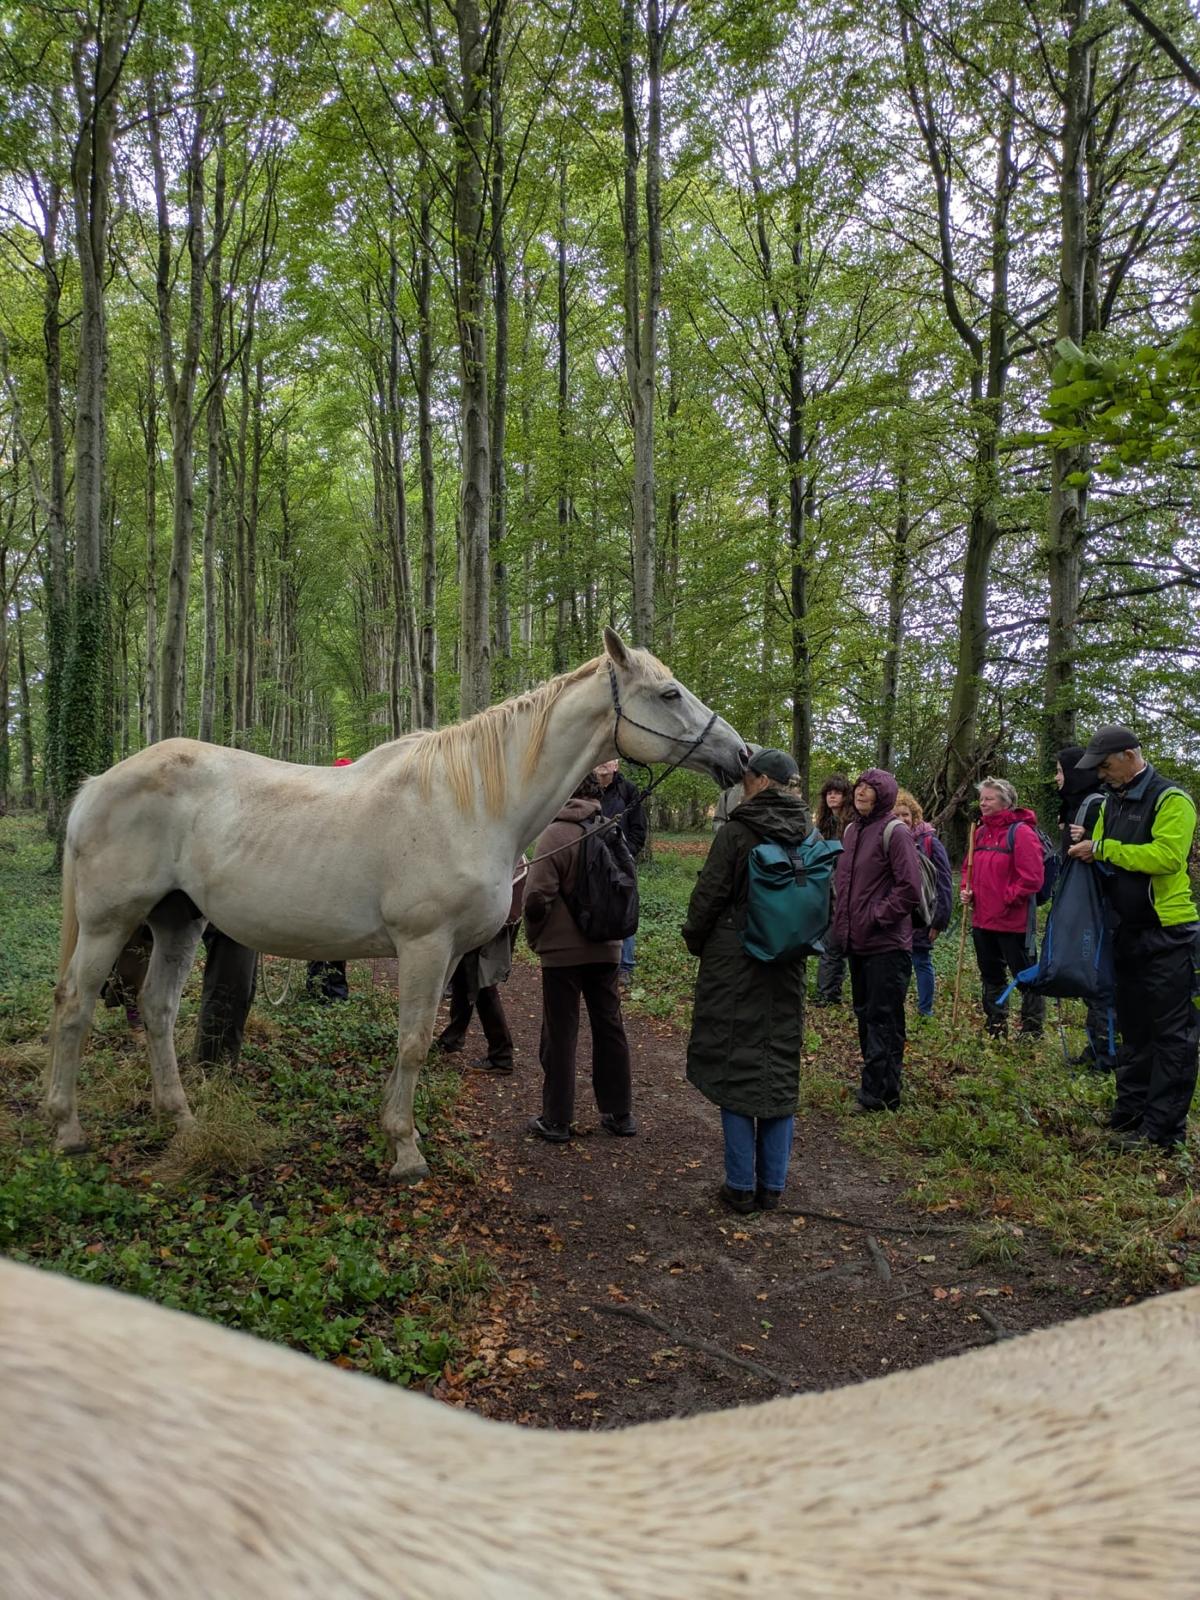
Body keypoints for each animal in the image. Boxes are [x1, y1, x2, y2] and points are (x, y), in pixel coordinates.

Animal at [45, 629, 747, 1181]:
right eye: (670, 694)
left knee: (157, 1010)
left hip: (177, 919)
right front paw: (406, 1152)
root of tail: (99, 783)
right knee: (77, 1007)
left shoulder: (447, 955)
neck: (470, 802)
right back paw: (67, 1128)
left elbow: (423, 1035)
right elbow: (411, 1043)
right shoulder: (425, 945)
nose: (741, 754)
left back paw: (181, 1118)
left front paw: (394, 1126)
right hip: (111, 923)